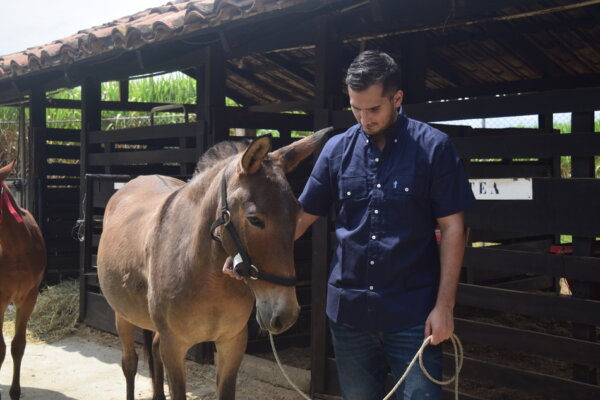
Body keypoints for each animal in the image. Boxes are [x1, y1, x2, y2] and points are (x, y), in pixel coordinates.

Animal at [98, 129, 332, 400]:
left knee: (153, 352)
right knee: (130, 363)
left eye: (298, 214)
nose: (287, 314)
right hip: (122, 316)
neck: (204, 277)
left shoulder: (232, 343)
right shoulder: (174, 347)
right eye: (254, 220)